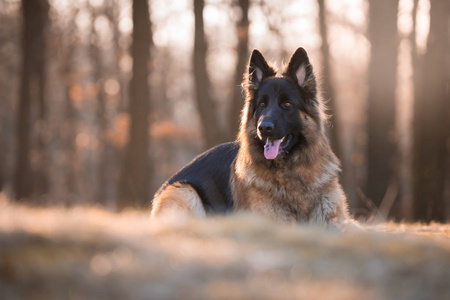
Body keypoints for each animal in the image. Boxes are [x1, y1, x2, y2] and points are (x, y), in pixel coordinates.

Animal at [151, 47, 356, 230]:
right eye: (262, 104)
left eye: (287, 104)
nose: (263, 128)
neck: (290, 170)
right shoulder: (271, 220)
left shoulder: (336, 219)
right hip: (184, 190)